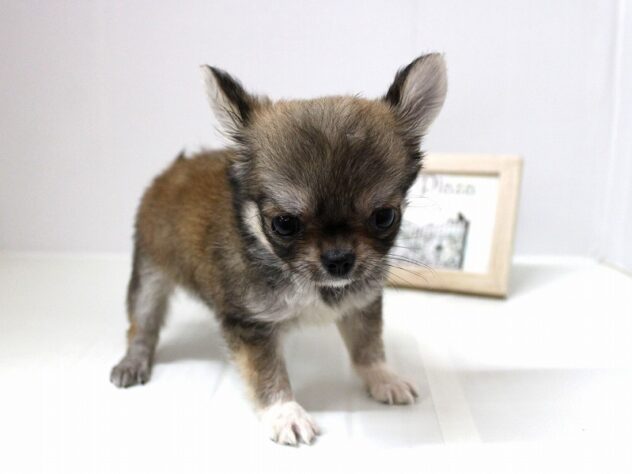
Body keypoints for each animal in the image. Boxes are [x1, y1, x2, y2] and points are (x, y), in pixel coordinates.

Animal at [110, 54, 447, 445]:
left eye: (384, 217)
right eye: (284, 224)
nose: (339, 260)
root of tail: (173, 170)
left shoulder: (361, 303)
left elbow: (368, 347)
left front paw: (384, 377)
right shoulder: (250, 325)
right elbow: (266, 373)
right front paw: (285, 412)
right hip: (149, 274)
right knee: (142, 324)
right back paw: (133, 362)